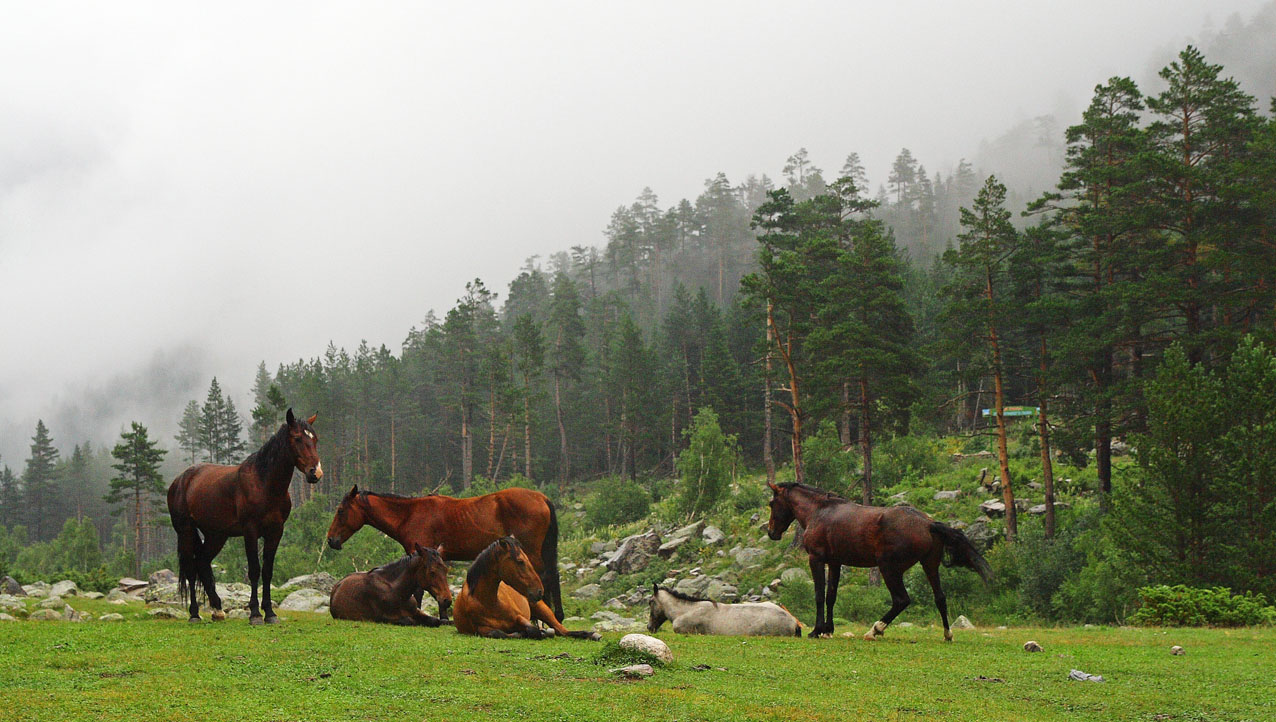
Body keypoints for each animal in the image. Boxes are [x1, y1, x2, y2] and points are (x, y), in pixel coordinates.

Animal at [168, 410, 324, 625]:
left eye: (315, 439)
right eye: (297, 438)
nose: (315, 472)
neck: (264, 484)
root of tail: (180, 480)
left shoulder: (275, 532)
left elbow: (267, 571)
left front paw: (270, 613)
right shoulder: (250, 531)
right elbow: (254, 570)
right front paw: (256, 614)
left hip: (216, 535)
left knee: (202, 562)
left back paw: (218, 610)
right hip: (185, 531)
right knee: (191, 569)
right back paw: (194, 614)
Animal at [326, 487, 561, 622]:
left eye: (340, 511)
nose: (331, 540)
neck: (410, 514)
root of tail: (542, 498)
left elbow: (419, 591)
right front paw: (444, 615)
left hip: (531, 553)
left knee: (544, 579)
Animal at [451, 538, 599, 645]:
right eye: (520, 561)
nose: (539, 591)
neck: (489, 602)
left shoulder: (519, 617)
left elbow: (533, 630)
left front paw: (537, 632)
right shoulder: (481, 629)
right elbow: (498, 633)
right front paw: (520, 633)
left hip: (542, 609)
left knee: (562, 631)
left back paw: (592, 634)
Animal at [760, 484, 990, 642]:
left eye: (771, 503)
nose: (771, 532)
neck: (819, 511)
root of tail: (928, 523)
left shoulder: (816, 559)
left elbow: (818, 596)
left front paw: (817, 630)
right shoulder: (835, 563)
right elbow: (831, 597)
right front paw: (828, 630)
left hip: (889, 569)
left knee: (901, 600)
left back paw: (875, 630)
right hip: (929, 565)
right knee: (940, 597)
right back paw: (947, 634)